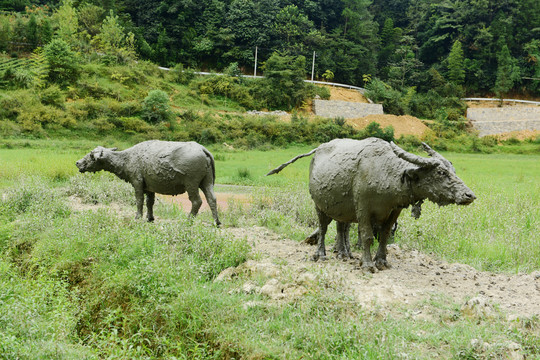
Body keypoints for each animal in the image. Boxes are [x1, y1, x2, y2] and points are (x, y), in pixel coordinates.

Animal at [75, 140, 220, 225]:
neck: (127, 158)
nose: (77, 162)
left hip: (191, 184)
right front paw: (150, 218)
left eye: (90, 155)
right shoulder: (150, 187)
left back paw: (189, 220)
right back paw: (216, 222)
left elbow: (139, 201)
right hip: (207, 182)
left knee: (197, 201)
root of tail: (202, 149)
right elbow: (150, 202)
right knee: (212, 199)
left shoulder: (137, 183)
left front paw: (138, 217)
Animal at [268, 137, 474, 270]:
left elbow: (383, 236)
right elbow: (366, 236)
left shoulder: (394, 211)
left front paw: (381, 261)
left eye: (453, 170)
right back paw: (321, 254)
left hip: (341, 207)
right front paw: (367, 264)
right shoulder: (363, 208)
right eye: (441, 173)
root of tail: (317, 151)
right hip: (319, 205)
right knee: (324, 228)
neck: (385, 173)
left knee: (341, 227)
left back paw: (343, 253)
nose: (469, 195)